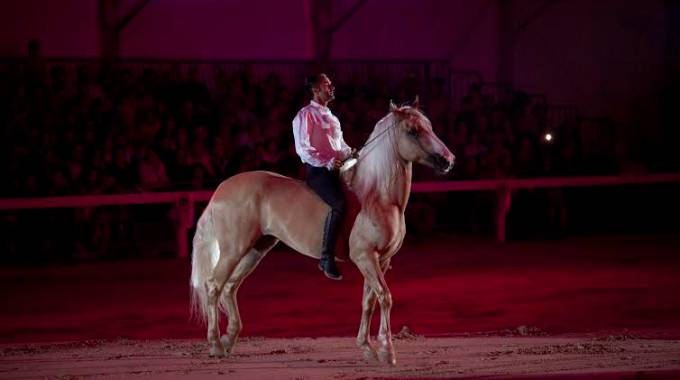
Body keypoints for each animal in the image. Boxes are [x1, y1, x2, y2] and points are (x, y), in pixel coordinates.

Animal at [191, 99, 454, 364]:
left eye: (429, 127)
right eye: (412, 131)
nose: (448, 160)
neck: (376, 196)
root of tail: (222, 189)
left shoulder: (382, 260)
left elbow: (369, 302)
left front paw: (368, 348)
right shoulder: (366, 257)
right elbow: (385, 297)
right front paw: (387, 350)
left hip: (256, 249)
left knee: (230, 287)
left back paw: (228, 340)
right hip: (233, 250)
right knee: (214, 286)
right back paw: (215, 344)